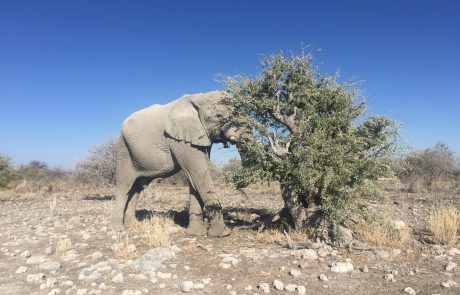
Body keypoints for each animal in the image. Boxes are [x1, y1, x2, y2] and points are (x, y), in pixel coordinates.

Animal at [110, 91, 248, 237]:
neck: (199, 97)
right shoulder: (178, 138)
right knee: (124, 186)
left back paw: (133, 225)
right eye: (219, 116)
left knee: (136, 188)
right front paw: (222, 234)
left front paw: (195, 233)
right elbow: (198, 173)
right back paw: (117, 229)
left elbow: (195, 178)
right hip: (123, 149)